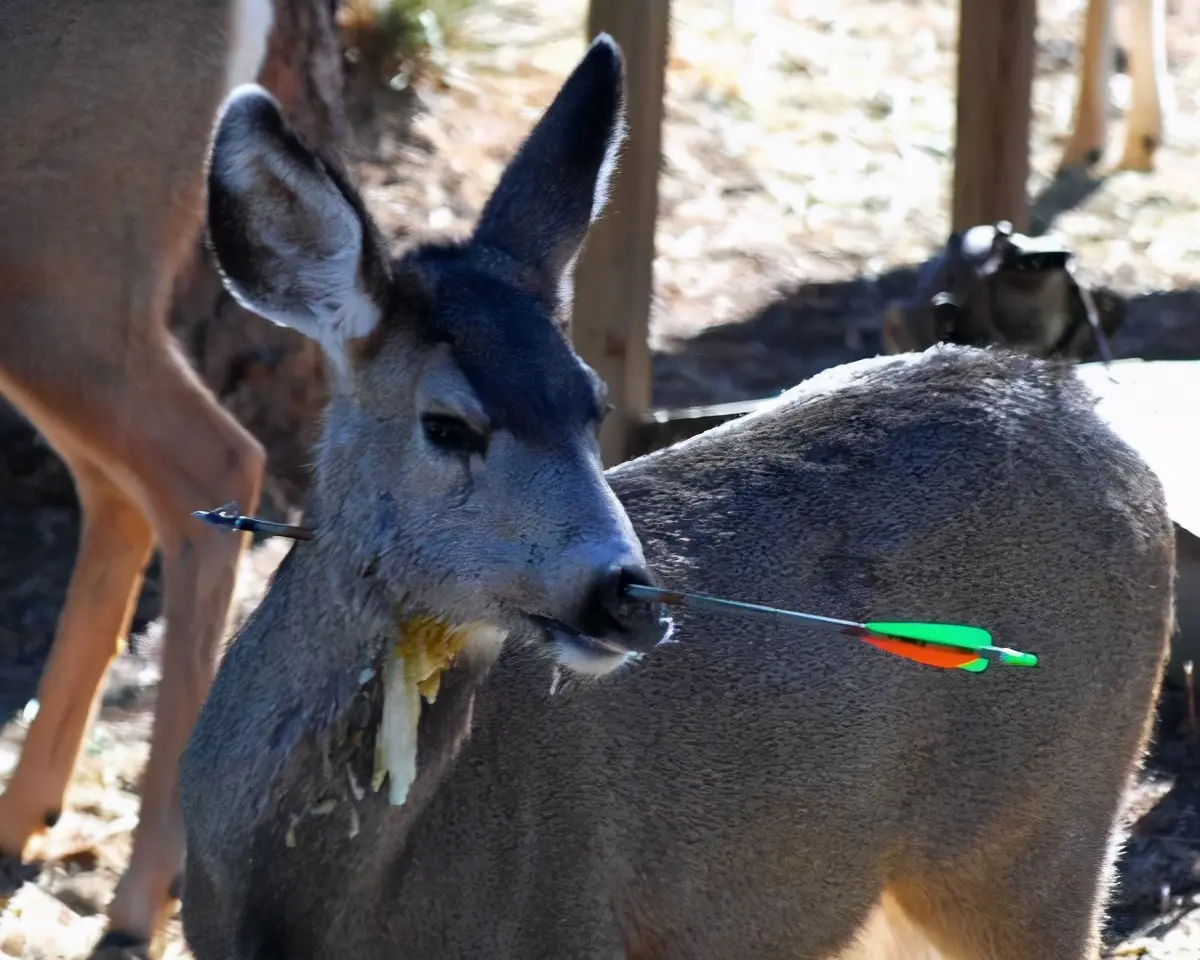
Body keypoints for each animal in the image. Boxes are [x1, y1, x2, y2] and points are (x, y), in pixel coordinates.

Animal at [175, 35, 1171, 960]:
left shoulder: (565, 925)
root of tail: (1099, 427)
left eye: (590, 403)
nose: (625, 595)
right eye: (448, 425)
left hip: (1036, 832)